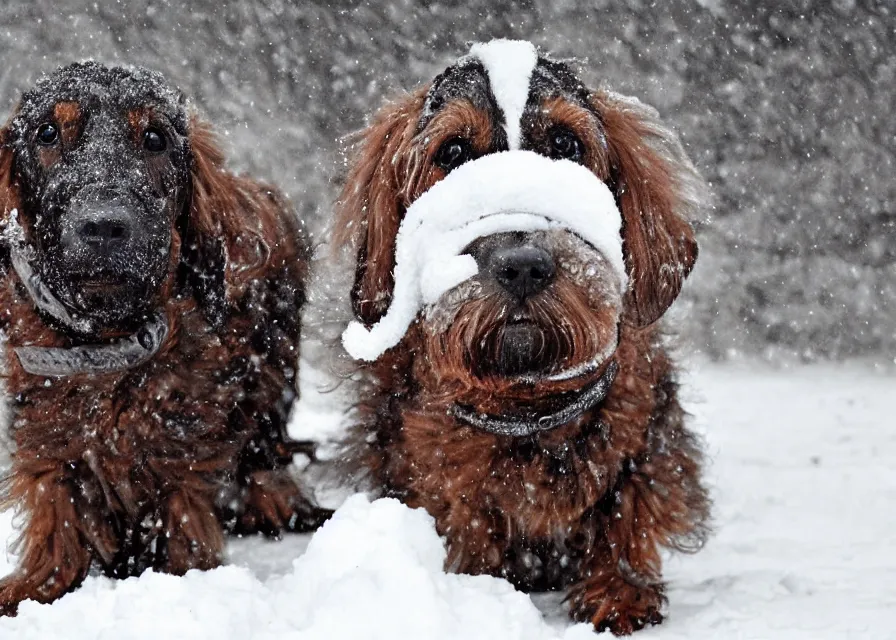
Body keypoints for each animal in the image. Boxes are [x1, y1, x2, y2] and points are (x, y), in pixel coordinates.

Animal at [0, 61, 328, 616]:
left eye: (154, 138)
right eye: (47, 133)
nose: (103, 227)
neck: (107, 343)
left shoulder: (183, 446)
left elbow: (182, 523)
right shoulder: (51, 443)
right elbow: (56, 525)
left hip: (274, 364)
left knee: (265, 447)